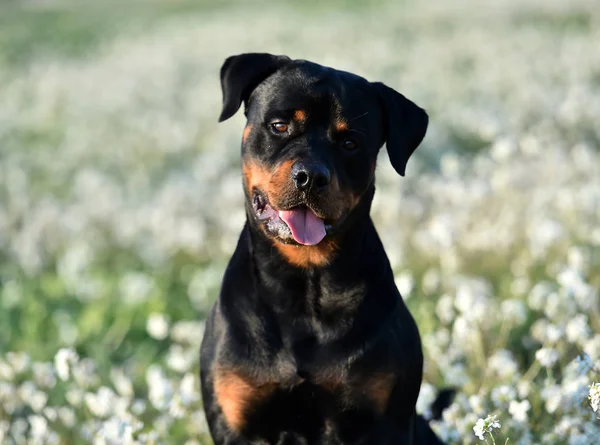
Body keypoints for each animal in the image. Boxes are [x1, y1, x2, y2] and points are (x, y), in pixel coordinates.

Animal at [202, 53, 450, 442]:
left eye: (350, 143)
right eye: (279, 125)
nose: (310, 177)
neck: (306, 283)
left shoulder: (386, 422)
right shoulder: (236, 423)